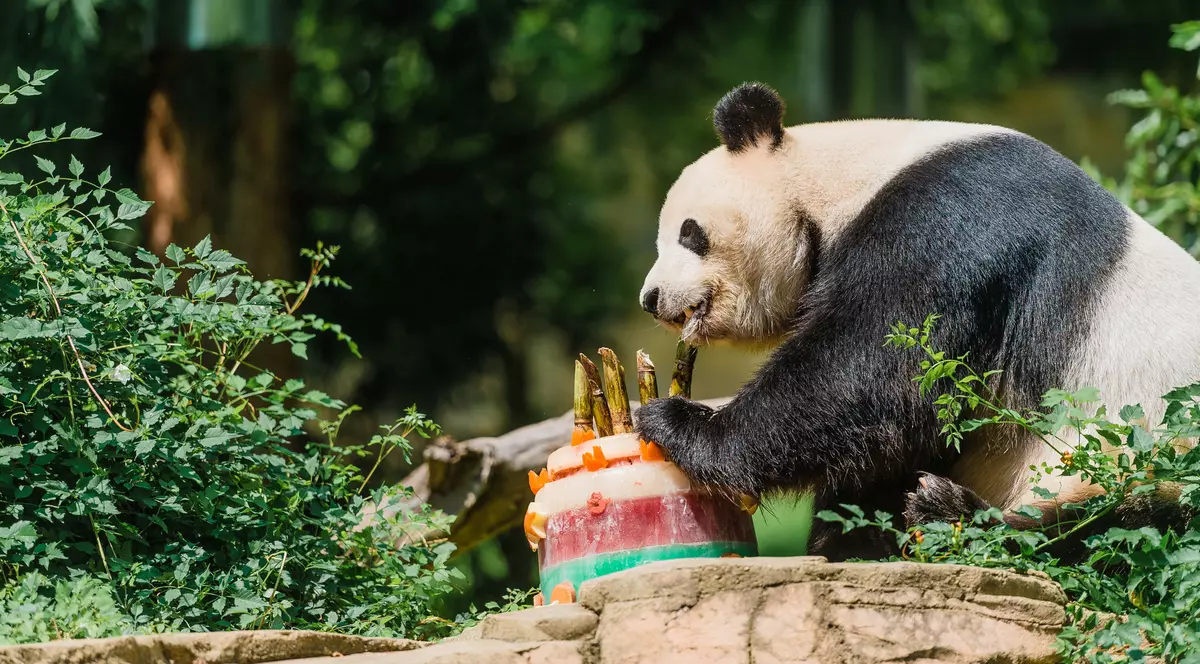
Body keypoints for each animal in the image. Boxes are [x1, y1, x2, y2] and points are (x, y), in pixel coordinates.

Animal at [633, 81, 1200, 562]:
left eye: (689, 232)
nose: (651, 298)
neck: (845, 176)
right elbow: (898, 433)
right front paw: (851, 537)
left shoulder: (954, 221)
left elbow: (876, 369)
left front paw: (680, 424)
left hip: (1150, 454)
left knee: (1117, 528)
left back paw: (949, 513)